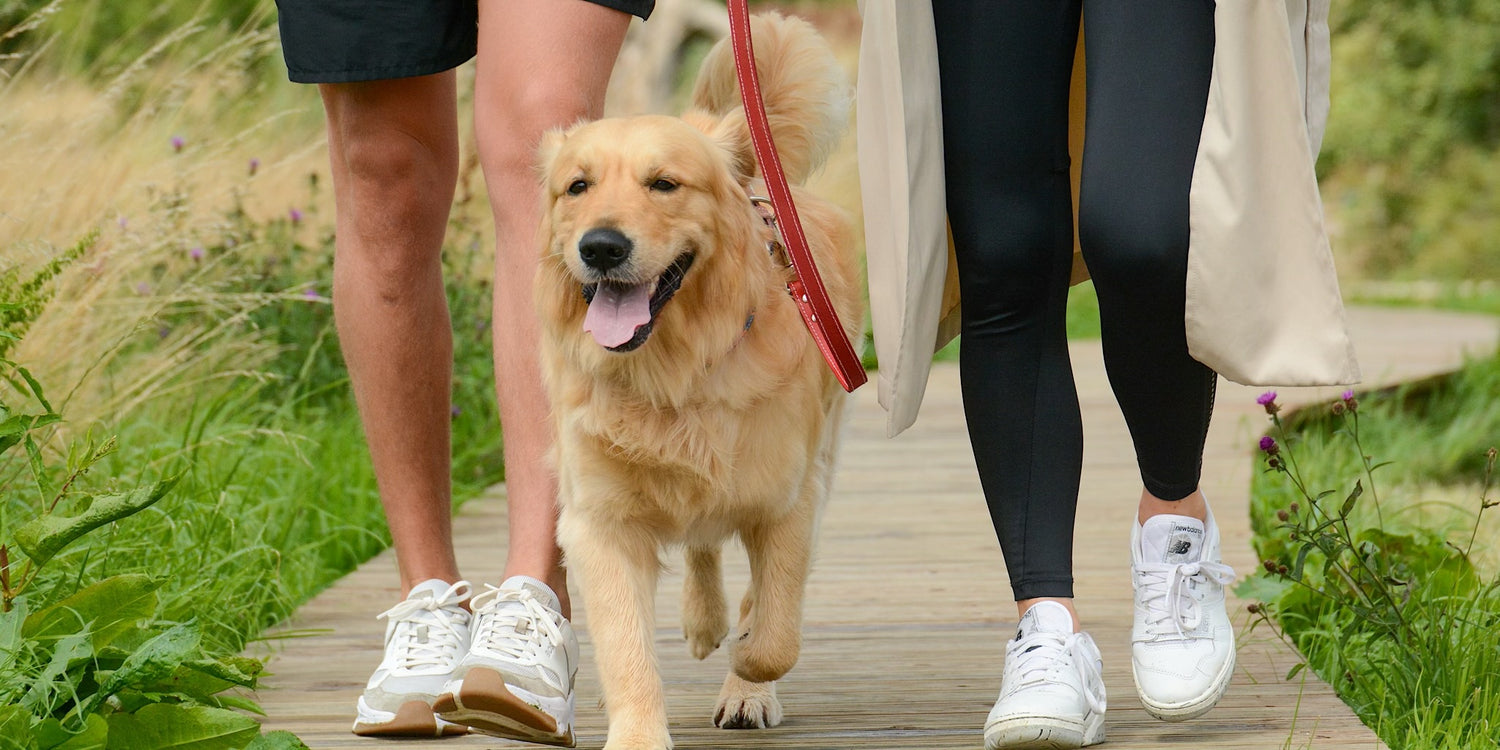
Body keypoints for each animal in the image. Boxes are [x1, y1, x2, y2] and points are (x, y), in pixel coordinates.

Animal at [534, 11, 864, 750]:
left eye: (664, 183)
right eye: (578, 187)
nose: (601, 246)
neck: (675, 374)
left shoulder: (789, 500)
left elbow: (774, 631)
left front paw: (748, 671)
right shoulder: (599, 521)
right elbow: (626, 646)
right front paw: (638, 732)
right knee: (702, 547)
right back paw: (702, 619)